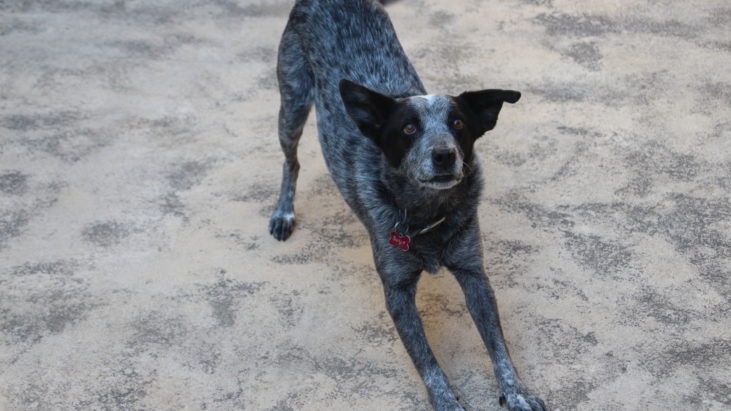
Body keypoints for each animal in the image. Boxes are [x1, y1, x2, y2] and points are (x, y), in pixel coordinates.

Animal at [268, 1, 544, 410]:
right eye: (408, 129)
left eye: (459, 123)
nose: (444, 155)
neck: (427, 216)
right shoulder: (397, 291)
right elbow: (426, 359)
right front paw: (447, 401)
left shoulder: (474, 274)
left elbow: (498, 345)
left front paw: (516, 392)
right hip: (292, 104)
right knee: (291, 161)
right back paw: (283, 212)